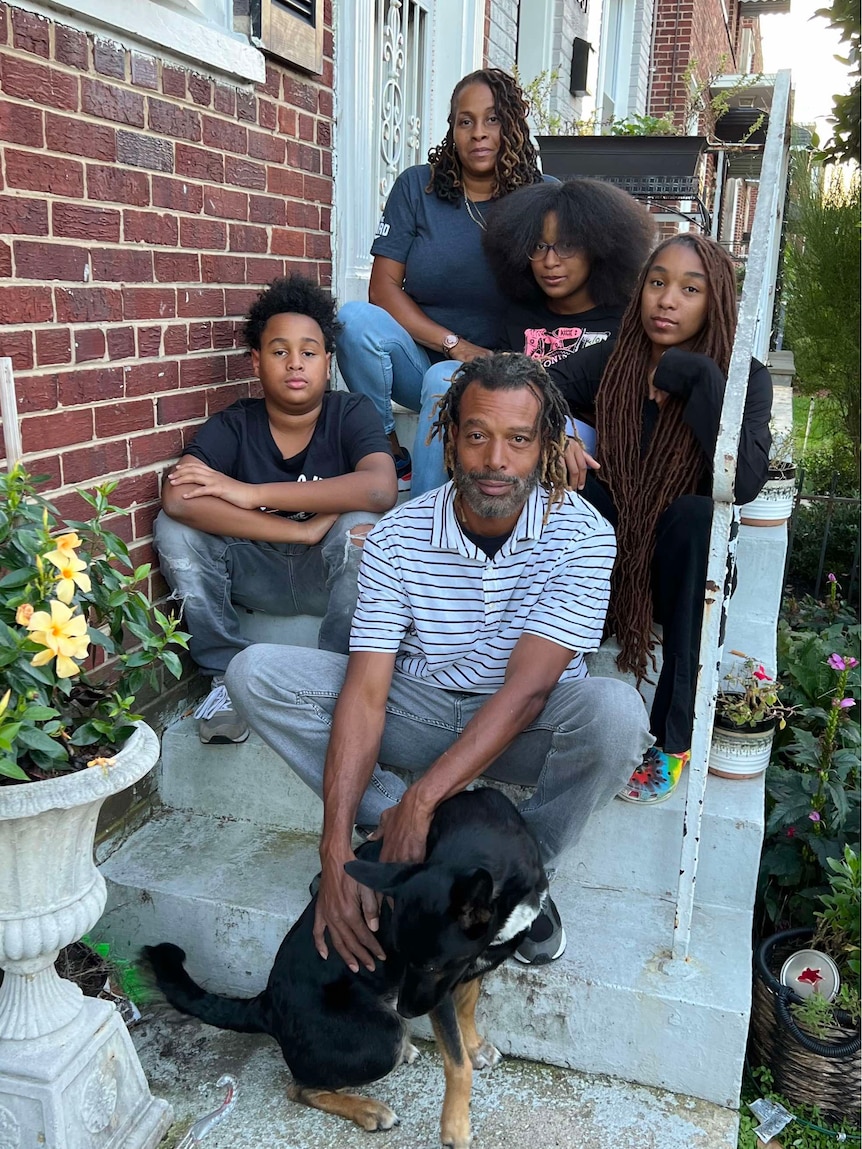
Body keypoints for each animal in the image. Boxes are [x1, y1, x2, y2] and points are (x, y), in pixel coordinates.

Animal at [142, 790, 547, 1149]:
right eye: (403, 957)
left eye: (431, 964)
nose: (405, 1010)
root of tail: (266, 1004)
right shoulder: (440, 990)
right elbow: (456, 1062)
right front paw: (456, 1129)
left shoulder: (465, 967)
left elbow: (467, 1008)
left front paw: (474, 1045)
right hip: (381, 1034)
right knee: (300, 1087)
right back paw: (368, 1109)